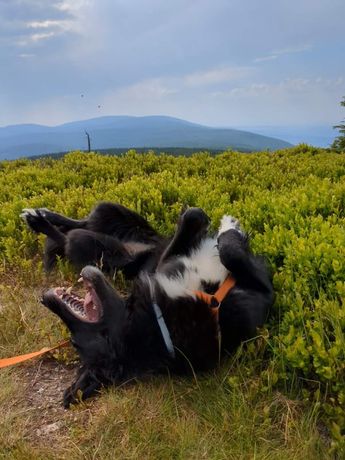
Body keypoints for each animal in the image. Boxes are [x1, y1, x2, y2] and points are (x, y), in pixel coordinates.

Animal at [22, 203, 274, 408]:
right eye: (75, 342)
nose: (45, 299)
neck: (160, 322)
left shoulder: (164, 264)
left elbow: (194, 219)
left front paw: (203, 219)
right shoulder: (262, 291)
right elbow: (228, 251)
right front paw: (228, 226)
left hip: (115, 219)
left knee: (81, 224)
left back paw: (38, 216)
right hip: (90, 244)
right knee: (70, 236)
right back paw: (39, 221)